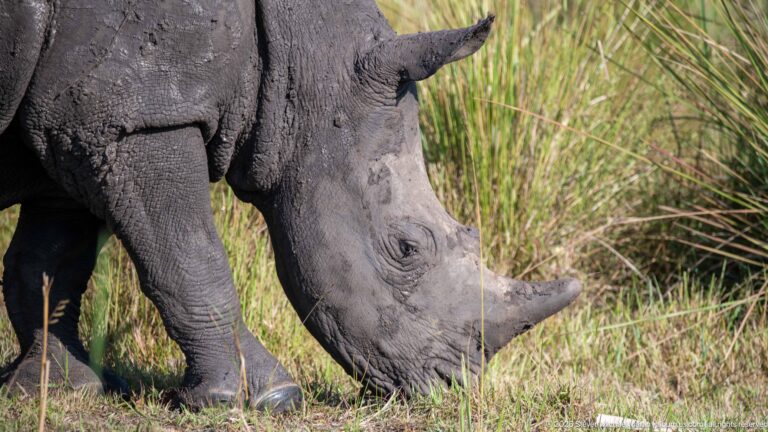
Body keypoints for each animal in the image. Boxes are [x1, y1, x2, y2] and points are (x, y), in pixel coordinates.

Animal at [0, 0, 580, 412]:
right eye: (407, 248)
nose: (452, 386)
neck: (300, 58)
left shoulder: (77, 124)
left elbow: (48, 265)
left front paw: (57, 390)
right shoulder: (137, 117)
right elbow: (191, 257)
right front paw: (261, 398)